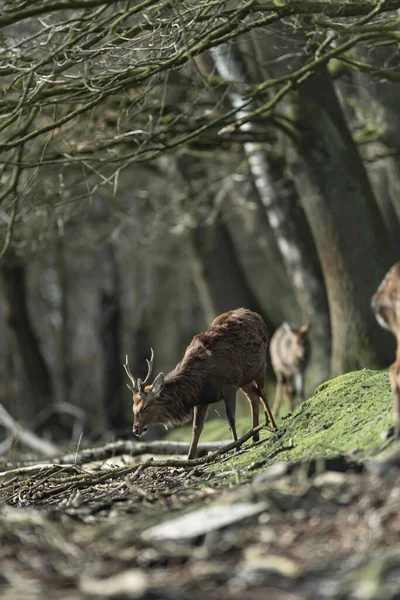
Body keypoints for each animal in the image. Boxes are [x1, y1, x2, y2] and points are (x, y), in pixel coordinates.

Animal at [123, 310, 276, 460]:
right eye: (133, 408)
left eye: (144, 407)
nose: (135, 429)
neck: (200, 381)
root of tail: (255, 314)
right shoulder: (201, 400)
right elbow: (196, 428)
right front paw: (189, 458)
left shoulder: (229, 386)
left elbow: (231, 419)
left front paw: (236, 447)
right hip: (245, 379)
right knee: (253, 396)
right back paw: (255, 437)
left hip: (261, 365)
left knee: (262, 393)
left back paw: (274, 427)